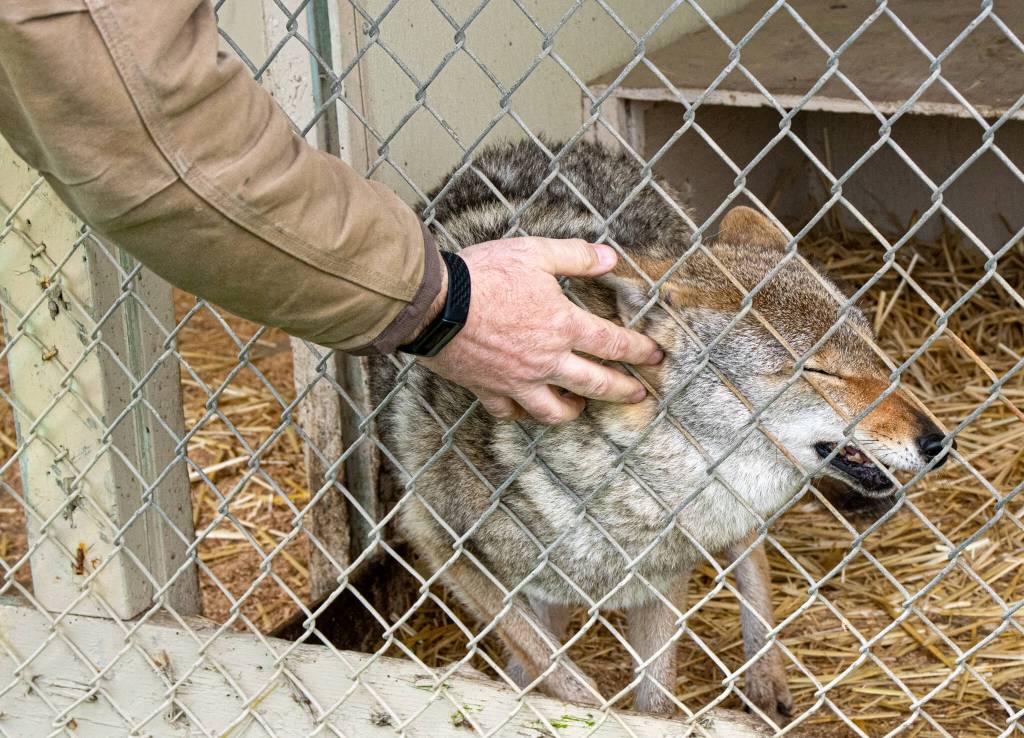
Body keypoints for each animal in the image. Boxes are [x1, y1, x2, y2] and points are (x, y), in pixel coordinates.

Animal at [373, 139, 951, 723]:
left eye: (871, 347)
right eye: (818, 370)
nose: (938, 442)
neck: (620, 483)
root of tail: (568, 145)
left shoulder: (663, 577)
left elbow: (653, 700)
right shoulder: (439, 541)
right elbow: (564, 677)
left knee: (753, 554)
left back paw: (764, 679)